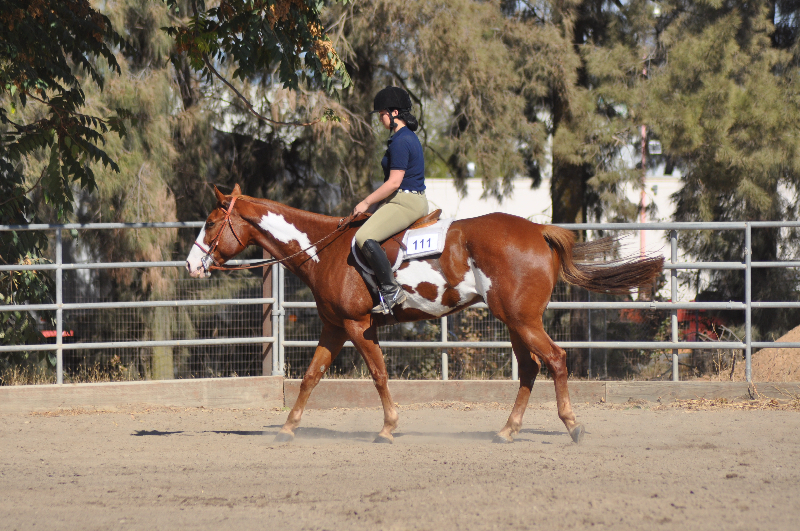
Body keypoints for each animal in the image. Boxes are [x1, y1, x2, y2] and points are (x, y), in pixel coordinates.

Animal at [186, 185, 664, 444]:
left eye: (209, 222)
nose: (191, 265)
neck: (327, 249)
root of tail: (537, 231)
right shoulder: (334, 328)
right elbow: (310, 377)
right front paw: (287, 430)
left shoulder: (358, 327)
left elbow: (379, 375)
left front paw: (387, 428)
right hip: (514, 322)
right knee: (530, 369)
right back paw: (507, 430)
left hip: (523, 321)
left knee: (556, 360)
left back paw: (572, 426)